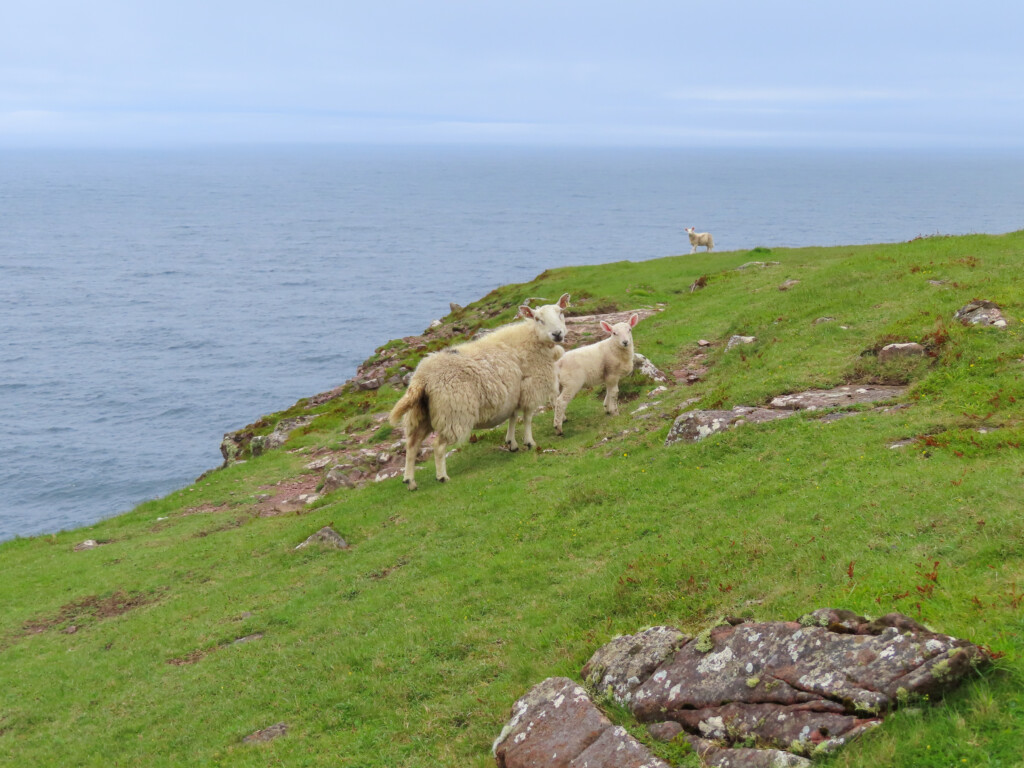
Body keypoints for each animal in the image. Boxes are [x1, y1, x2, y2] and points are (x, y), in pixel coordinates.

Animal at [389, 290, 573, 489]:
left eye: (561, 313)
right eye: (538, 319)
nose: (557, 334)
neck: (532, 339)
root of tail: (422, 378)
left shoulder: (513, 393)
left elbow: (513, 417)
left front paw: (511, 443)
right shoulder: (530, 387)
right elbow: (528, 418)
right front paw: (529, 442)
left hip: (422, 414)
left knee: (412, 445)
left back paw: (410, 481)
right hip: (454, 412)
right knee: (438, 445)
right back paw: (442, 476)